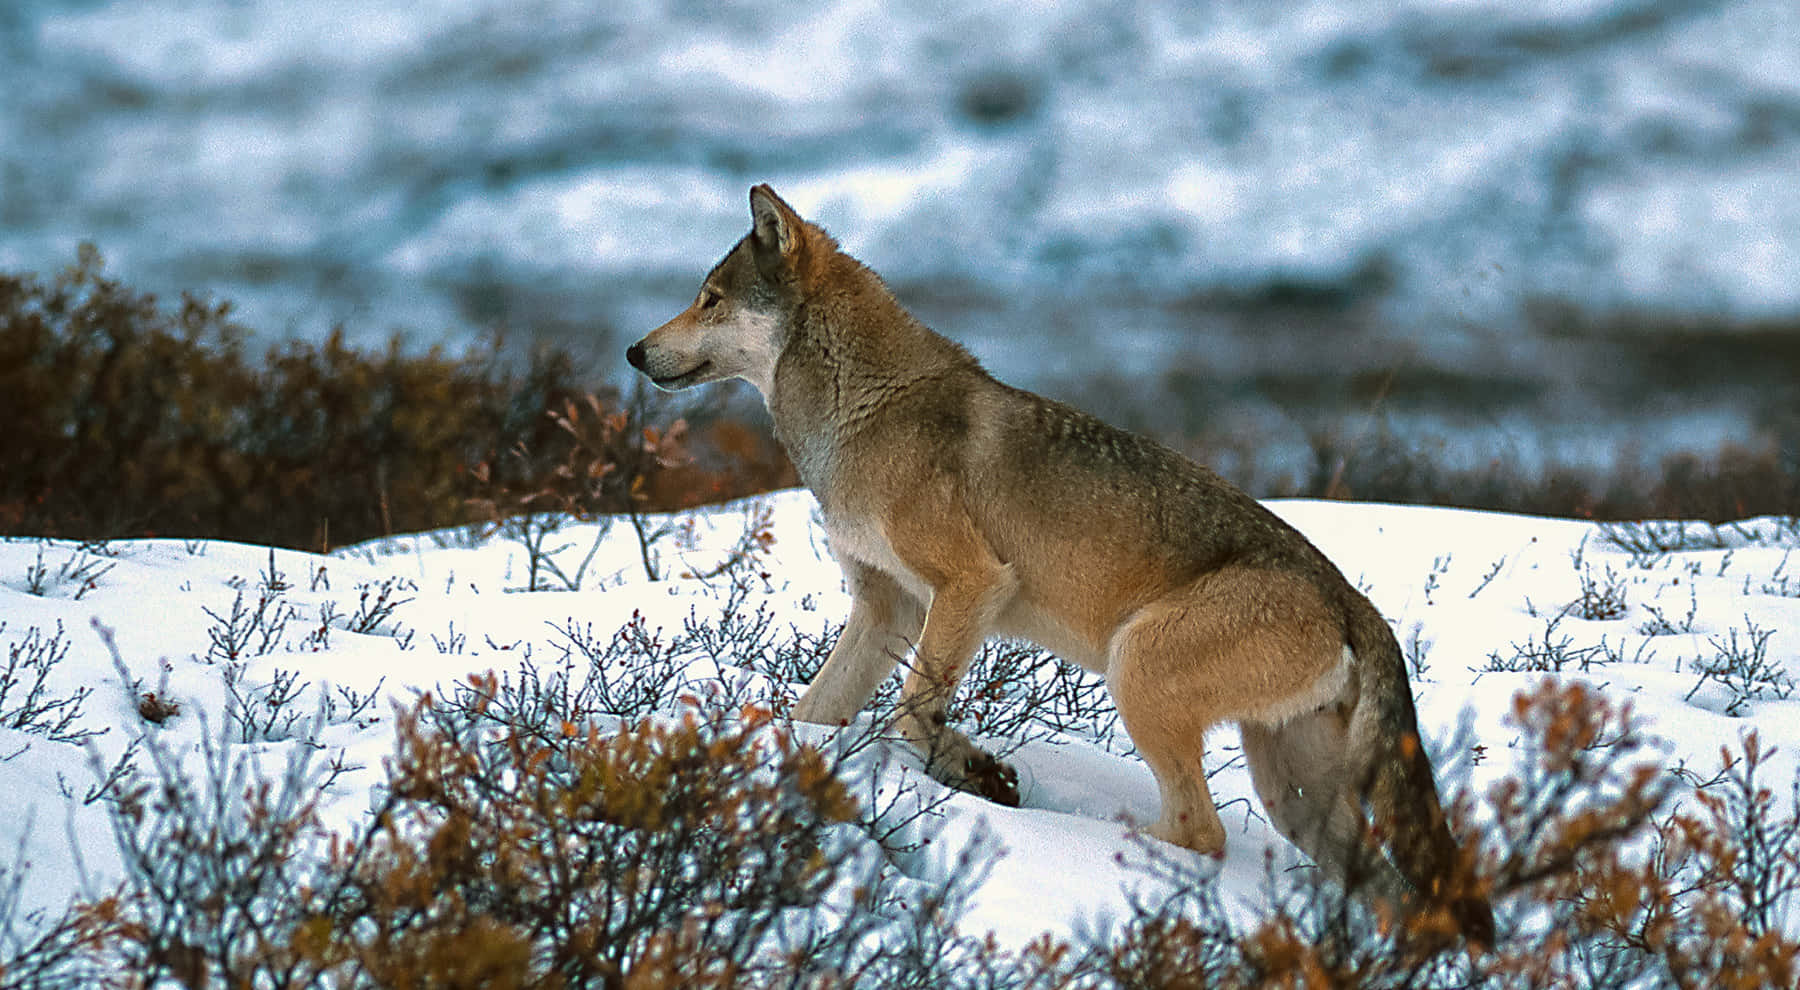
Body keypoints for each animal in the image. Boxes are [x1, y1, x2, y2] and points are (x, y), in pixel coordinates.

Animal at [627, 185, 1493, 944]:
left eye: (710, 298)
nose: (633, 350)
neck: (860, 414)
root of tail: (1356, 603)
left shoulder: (970, 585)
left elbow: (910, 715)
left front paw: (977, 773)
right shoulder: (887, 607)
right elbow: (816, 713)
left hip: (1137, 672)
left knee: (1201, 833)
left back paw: (1098, 850)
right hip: (1295, 796)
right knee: (1372, 886)